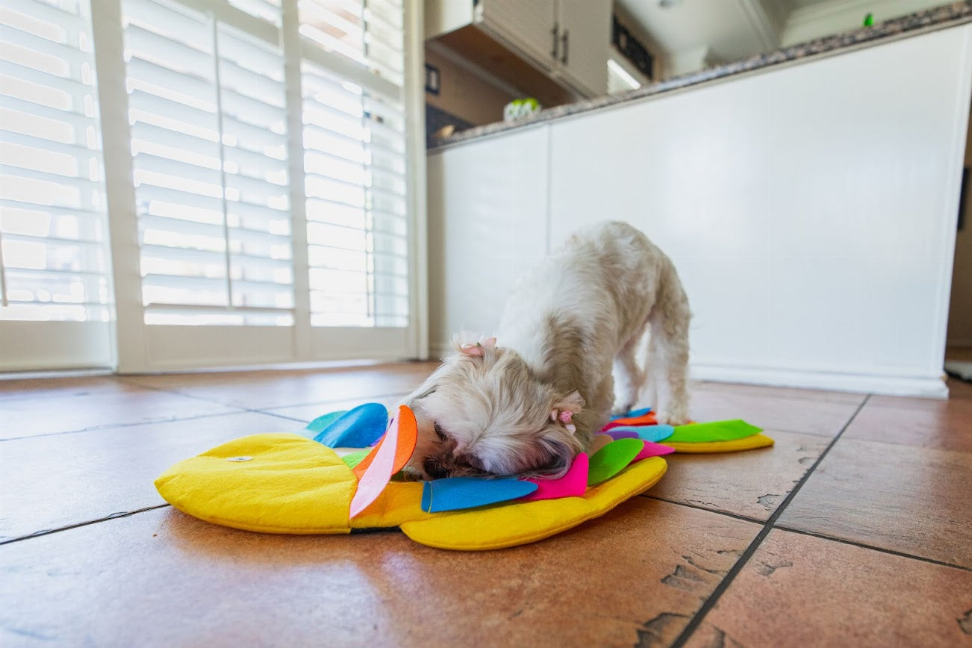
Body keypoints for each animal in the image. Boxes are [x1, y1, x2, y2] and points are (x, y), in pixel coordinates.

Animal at [402, 223, 692, 480]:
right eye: (439, 429)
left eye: (473, 463)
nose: (436, 467)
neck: (534, 365)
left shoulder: (594, 394)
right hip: (627, 334)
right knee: (631, 370)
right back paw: (626, 403)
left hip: (669, 309)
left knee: (670, 368)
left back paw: (672, 413)